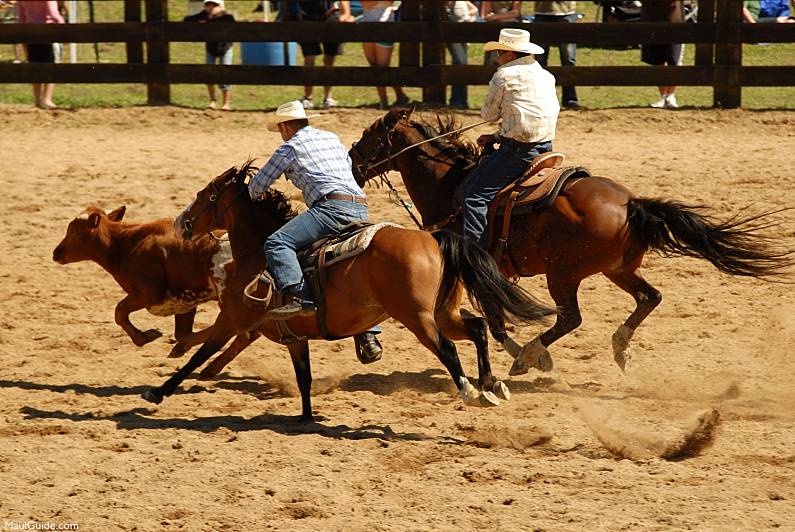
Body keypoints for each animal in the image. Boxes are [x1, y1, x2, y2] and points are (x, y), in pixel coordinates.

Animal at [141, 162, 552, 420]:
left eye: (207, 194)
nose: (182, 223)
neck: (256, 252)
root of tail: (433, 239)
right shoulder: (294, 338)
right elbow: (303, 376)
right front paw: (305, 417)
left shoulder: (233, 319)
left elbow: (199, 355)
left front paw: (158, 392)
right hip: (442, 311)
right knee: (477, 329)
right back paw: (491, 384)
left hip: (416, 316)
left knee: (447, 348)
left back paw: (471, 392)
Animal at [352, 107, 792, 374]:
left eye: (369, 135)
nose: (353, 163)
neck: (450, 182)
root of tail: (631, 202)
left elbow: (494, 319)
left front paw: (522, 355)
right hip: (617, 268)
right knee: (650, 297)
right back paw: (619, 347)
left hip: (562, 273)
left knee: (571, 317)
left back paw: (533, 356)